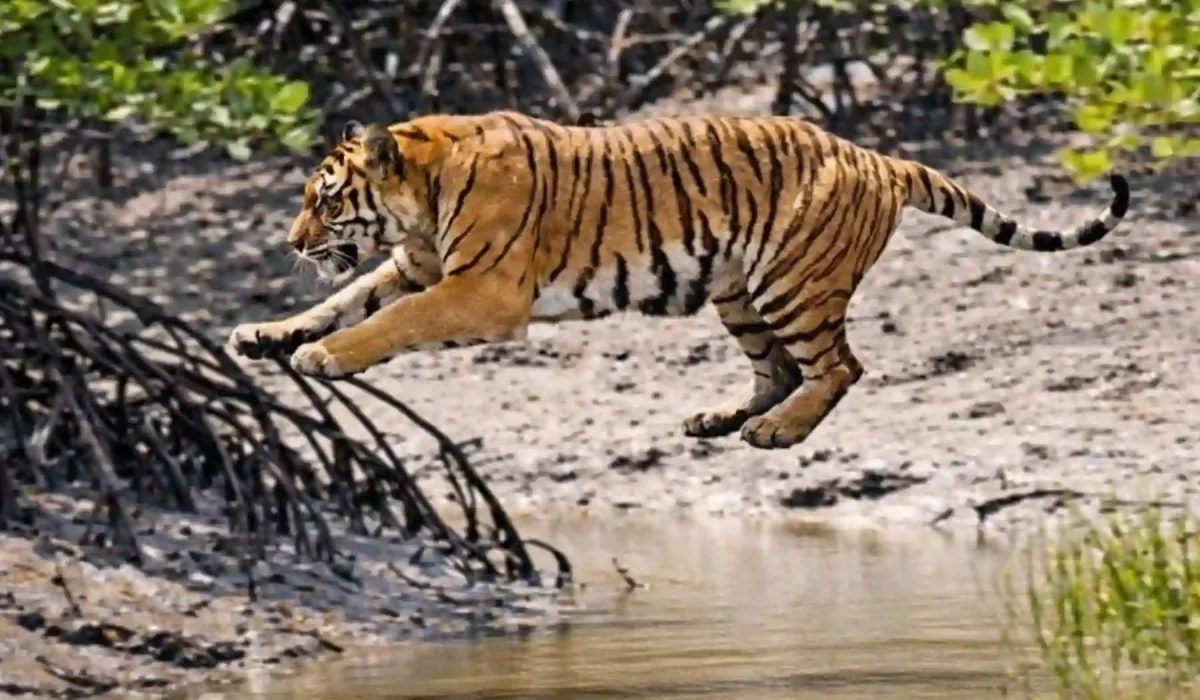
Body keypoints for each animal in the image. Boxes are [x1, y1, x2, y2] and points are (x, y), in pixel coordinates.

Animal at [228, 109, 1129, 450]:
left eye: (323, 199)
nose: (290, 239)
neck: (421, 188)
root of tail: (879, 156)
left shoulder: (481, 290)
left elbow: (388, 321)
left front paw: (322, 358)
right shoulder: (413, 263)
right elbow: (344, 298)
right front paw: (265, 333)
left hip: (792, 282)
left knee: (839, 366)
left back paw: (776, 433)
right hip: (738, 291)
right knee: (779, 368)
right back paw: (721, 417)